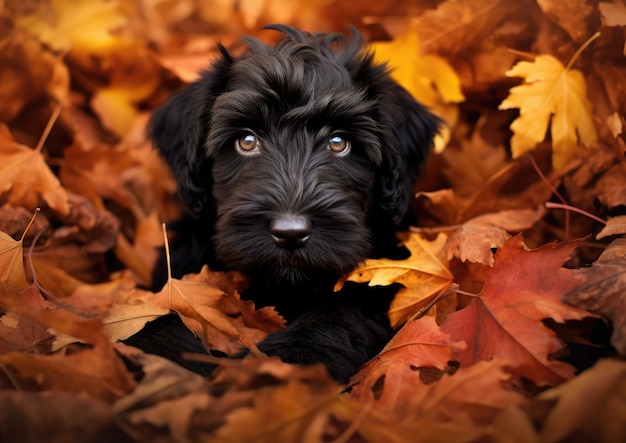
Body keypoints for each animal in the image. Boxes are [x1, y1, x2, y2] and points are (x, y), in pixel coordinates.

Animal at [129, 25, 436, 386]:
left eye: (338, 142)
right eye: (246, 141)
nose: (290, 233)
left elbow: (336, 317)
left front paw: (278, 363)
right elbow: (158, 316)